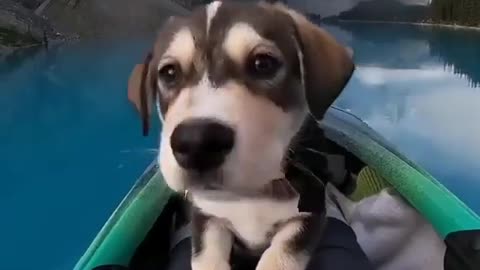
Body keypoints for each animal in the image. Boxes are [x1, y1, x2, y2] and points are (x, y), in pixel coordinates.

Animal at [126, 1, 352, 268]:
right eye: (169, 73)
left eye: (263, 64)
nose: (197, 143)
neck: (248, 196)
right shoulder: (207, 218)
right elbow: (207, 258)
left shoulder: (309, 215)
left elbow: (280, 256)